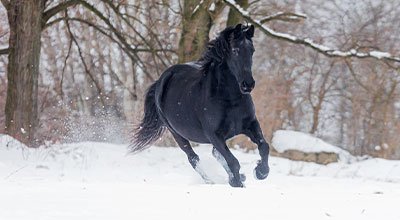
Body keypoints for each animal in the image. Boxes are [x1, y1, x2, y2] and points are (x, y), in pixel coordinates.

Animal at [131, 23, 268, 186]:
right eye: (235, 50)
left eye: (252, 50)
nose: (248, 84)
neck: (230, 100)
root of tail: (160, 81)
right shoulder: (214, 135)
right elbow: (233, 161)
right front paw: (237, 183)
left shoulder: (251, 124)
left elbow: (264, 147)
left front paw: (260, 172)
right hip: (177, 134)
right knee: (193, 158)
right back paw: (211, 181)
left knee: (215, 154)